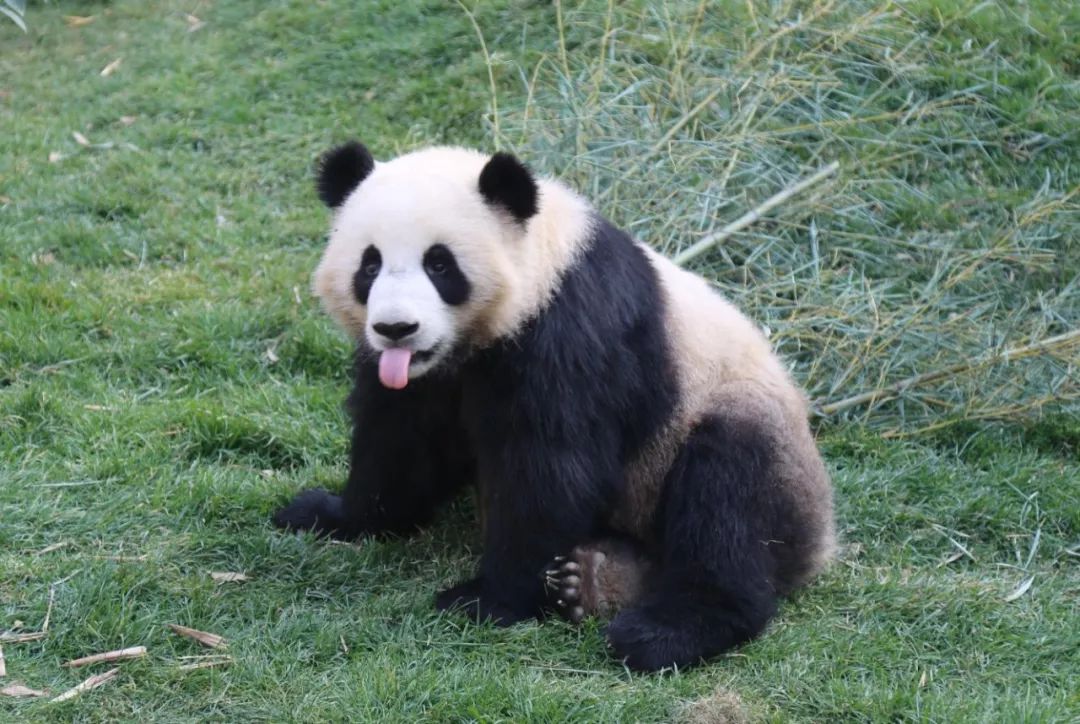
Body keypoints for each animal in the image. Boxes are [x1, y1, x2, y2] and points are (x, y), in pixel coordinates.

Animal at [276, 143, 833, 674]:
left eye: (439, 264)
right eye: (369, 264)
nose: (396, 329)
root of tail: (821, 543)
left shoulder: (572, 332)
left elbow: (550, 467)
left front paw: (486, 600)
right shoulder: (426, 378)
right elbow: (400, 440)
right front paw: (330, 515)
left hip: (738, 425)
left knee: (727, 498)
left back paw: (661, 632)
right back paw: (594, 578)